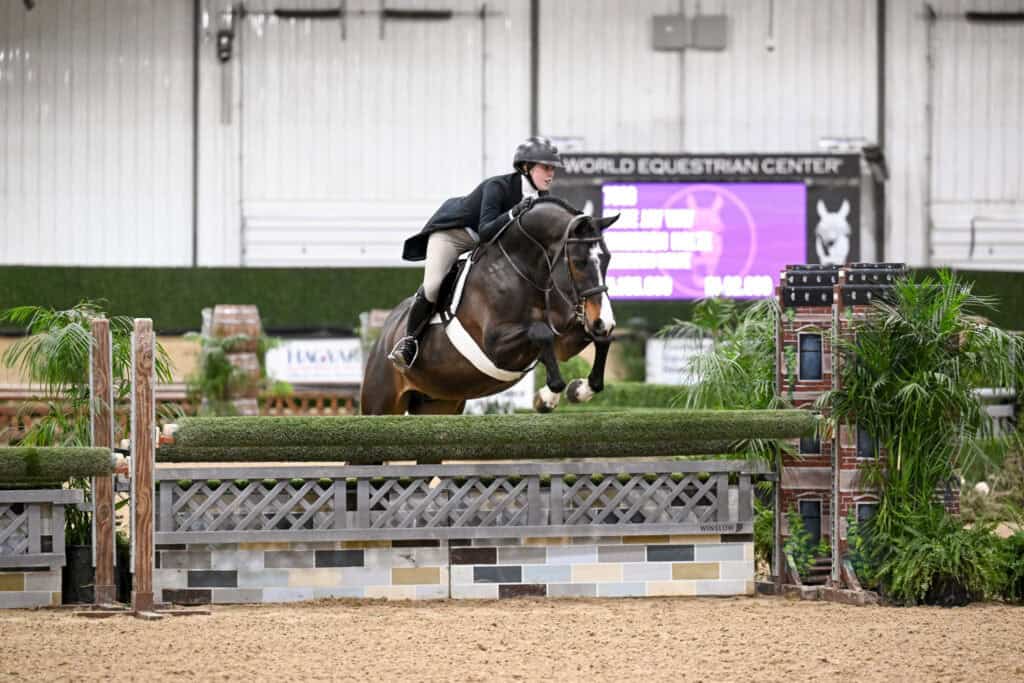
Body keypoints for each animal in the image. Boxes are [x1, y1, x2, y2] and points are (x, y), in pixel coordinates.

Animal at [361, 198, 619, 415]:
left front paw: (577, 390)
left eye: (607, 259)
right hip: (380, 403)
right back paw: (404, 351)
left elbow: (600, 340)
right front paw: (550, 395)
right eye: (578, 262)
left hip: (438, 403)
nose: (602, 321)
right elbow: (541, 332)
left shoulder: (564, 337)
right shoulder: (495, 346)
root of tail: (384, 333)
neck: (521, 271)